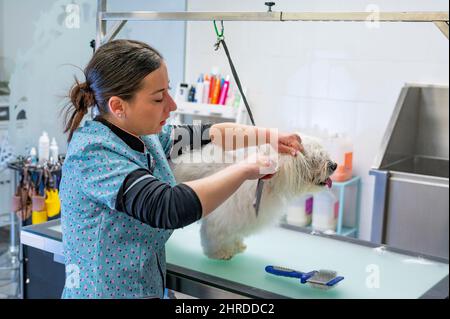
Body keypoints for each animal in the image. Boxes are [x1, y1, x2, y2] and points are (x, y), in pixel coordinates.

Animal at [171, 135, 336, 260]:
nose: (334, 165)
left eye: (325, 154)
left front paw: (237, 246)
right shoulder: (222, 217)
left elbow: (234, 234)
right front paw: (220, 252)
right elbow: (216, 236)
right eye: (316, 158)